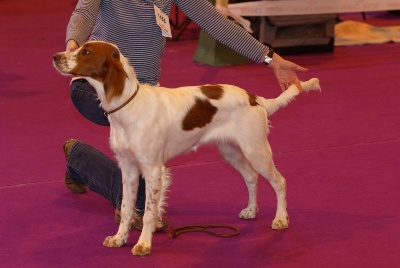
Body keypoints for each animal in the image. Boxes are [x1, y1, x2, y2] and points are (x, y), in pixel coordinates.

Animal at [54, 40, 322, 255]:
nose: (56, 56)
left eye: (86, 51)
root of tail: (255, 98)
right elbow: (127, 207)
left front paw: (143, 244)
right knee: (251, 177)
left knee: (279, 181)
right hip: (231, 151)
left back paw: (281, 219)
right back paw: (251, 210)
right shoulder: (128, 168)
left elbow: (149, 211)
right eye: (79, 47)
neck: (129, 106)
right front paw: (120, 239)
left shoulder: (153, 169)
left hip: (255, 149)